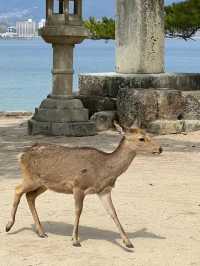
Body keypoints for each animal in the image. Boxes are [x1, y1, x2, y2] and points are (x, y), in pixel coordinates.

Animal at [6, 121, 162, 248]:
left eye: (147, 133)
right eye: (141, 138)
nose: (160, 148)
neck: (103, 170)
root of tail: (21, 155)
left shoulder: (104, 190)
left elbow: (113, 212)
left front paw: (128, 242)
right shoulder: (78, 186)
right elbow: (78, 211)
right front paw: (75, 240)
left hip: (44, 184)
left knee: (30, 196)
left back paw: (41, 232)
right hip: (31, 178)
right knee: (17, 189)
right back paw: (8, 226)